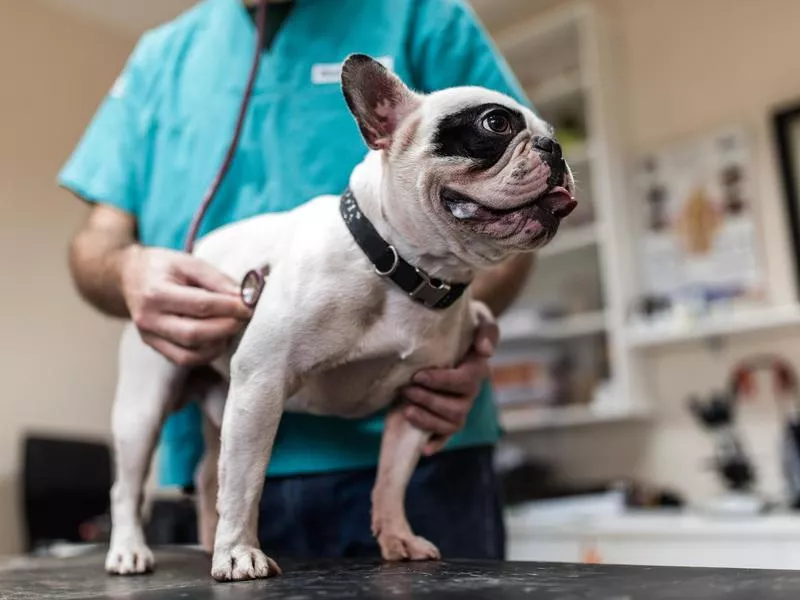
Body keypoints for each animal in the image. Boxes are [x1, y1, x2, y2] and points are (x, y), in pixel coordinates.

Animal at [104, 52, 576, 580]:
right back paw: (130, 550)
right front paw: (240, 553)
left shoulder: (416, 401)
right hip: (144, 407)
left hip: (221, 400)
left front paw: (396, 536)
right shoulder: (262, 383)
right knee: (130, 486)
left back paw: (207, 542)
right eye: (495, 123)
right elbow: (247, 480)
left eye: (550, 130)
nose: (556, 147)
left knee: (209, 474)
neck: (402, 267)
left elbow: (391, 478)